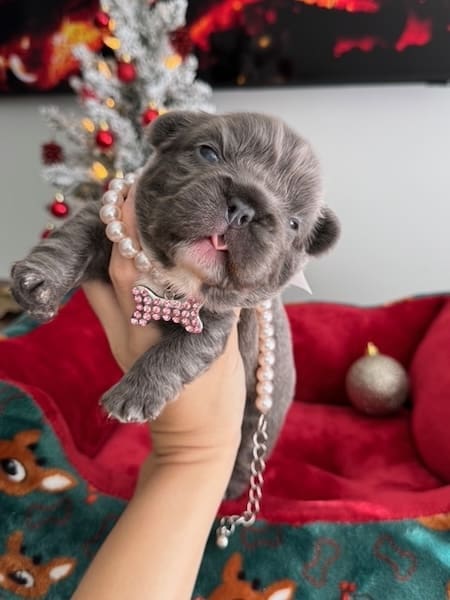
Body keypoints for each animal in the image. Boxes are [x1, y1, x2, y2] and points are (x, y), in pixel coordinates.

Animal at [11, 111, 340, 497]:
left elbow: (179, 351)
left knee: (246, 453)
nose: (244, 208)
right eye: (208, 153)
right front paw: (40, 280)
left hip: (260, 420)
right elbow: (74, 235)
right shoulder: (109, 223)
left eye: (294, 223)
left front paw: (135, 392)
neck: (170, 272)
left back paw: (230, 489)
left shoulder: (215, 319)